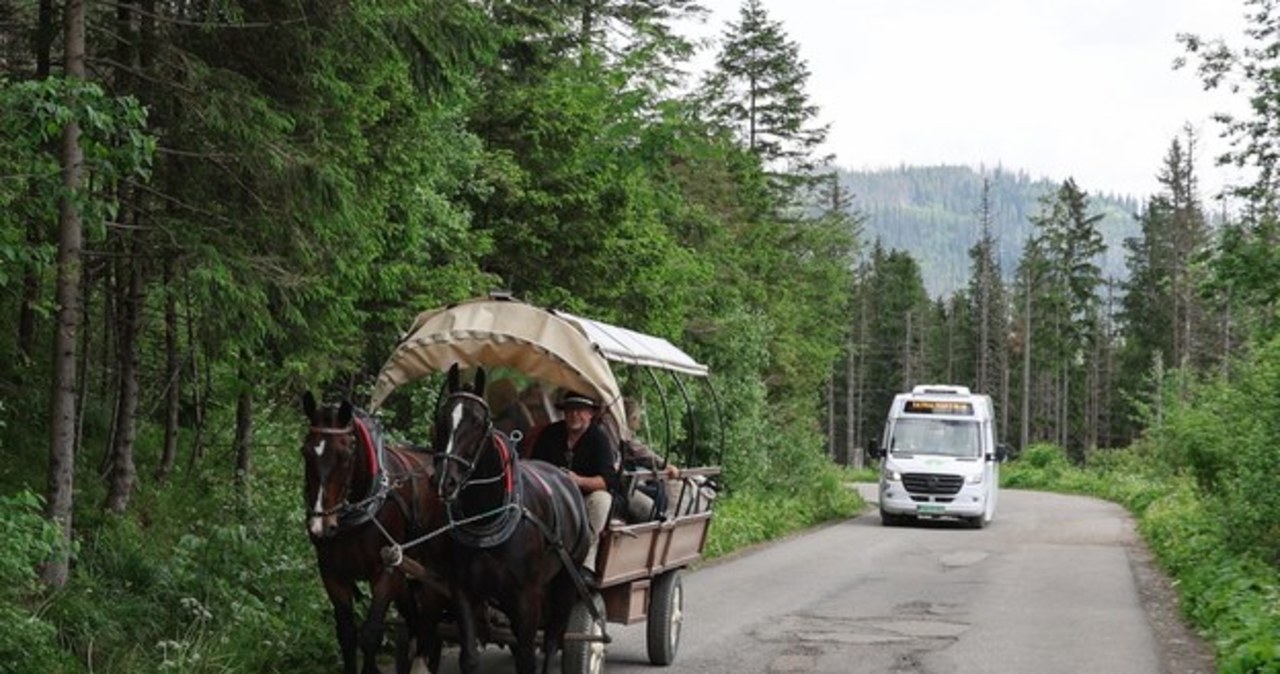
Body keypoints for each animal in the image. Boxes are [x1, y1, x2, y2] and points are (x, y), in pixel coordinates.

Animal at [299, 393, 450, 674]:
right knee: (414, 617)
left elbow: (371, 634)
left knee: (429, 616)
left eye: (346, 453)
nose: (319, 527)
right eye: (305, 451)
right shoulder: (332, 573)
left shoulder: (386, 570)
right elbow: (346, 634)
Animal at [430, 365, 588, 674]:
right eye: (442, 418)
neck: (486, 519)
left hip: (567, 579)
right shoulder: (463, 591)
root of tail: (564, 476)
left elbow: (527, 659)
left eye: (479, 422)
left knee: (553, 636)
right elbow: (470, 658)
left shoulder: (526, 596)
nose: (445, 481)